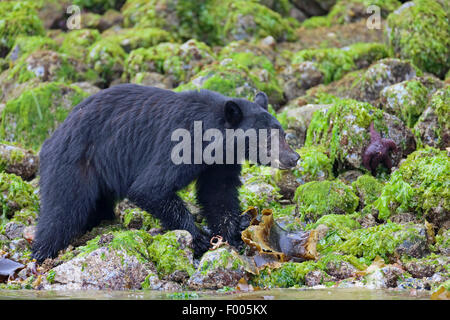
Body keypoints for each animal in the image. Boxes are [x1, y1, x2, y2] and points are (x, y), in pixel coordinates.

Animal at [30, 85, 298, 262]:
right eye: (267, 138)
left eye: (282, 133)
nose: (293, 158)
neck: (212, 138)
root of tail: (55, 134)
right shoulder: (180, 144)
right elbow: (151, 188)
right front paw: (198, 238)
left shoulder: (219, 162)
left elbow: (218, 194)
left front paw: (231, 234)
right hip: (75, 163)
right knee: (62, 209)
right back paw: (41, 252)